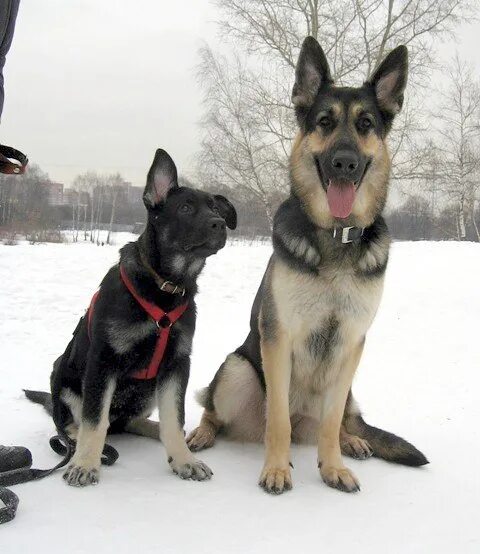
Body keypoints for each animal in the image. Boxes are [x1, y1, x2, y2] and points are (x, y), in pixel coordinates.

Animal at [26, 149, 236, 486]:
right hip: (63, 373)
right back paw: (76, 442)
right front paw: (85, 463)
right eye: (186, 208)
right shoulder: (103, 362)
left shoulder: (177, 364)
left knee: (131, 422)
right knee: (72, 424)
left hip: (148, 388)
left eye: (215, 208)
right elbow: (94, 419)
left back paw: (154, 429)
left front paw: (183, 460)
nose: (219, 224)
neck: (163, 286)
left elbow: (174, 417)